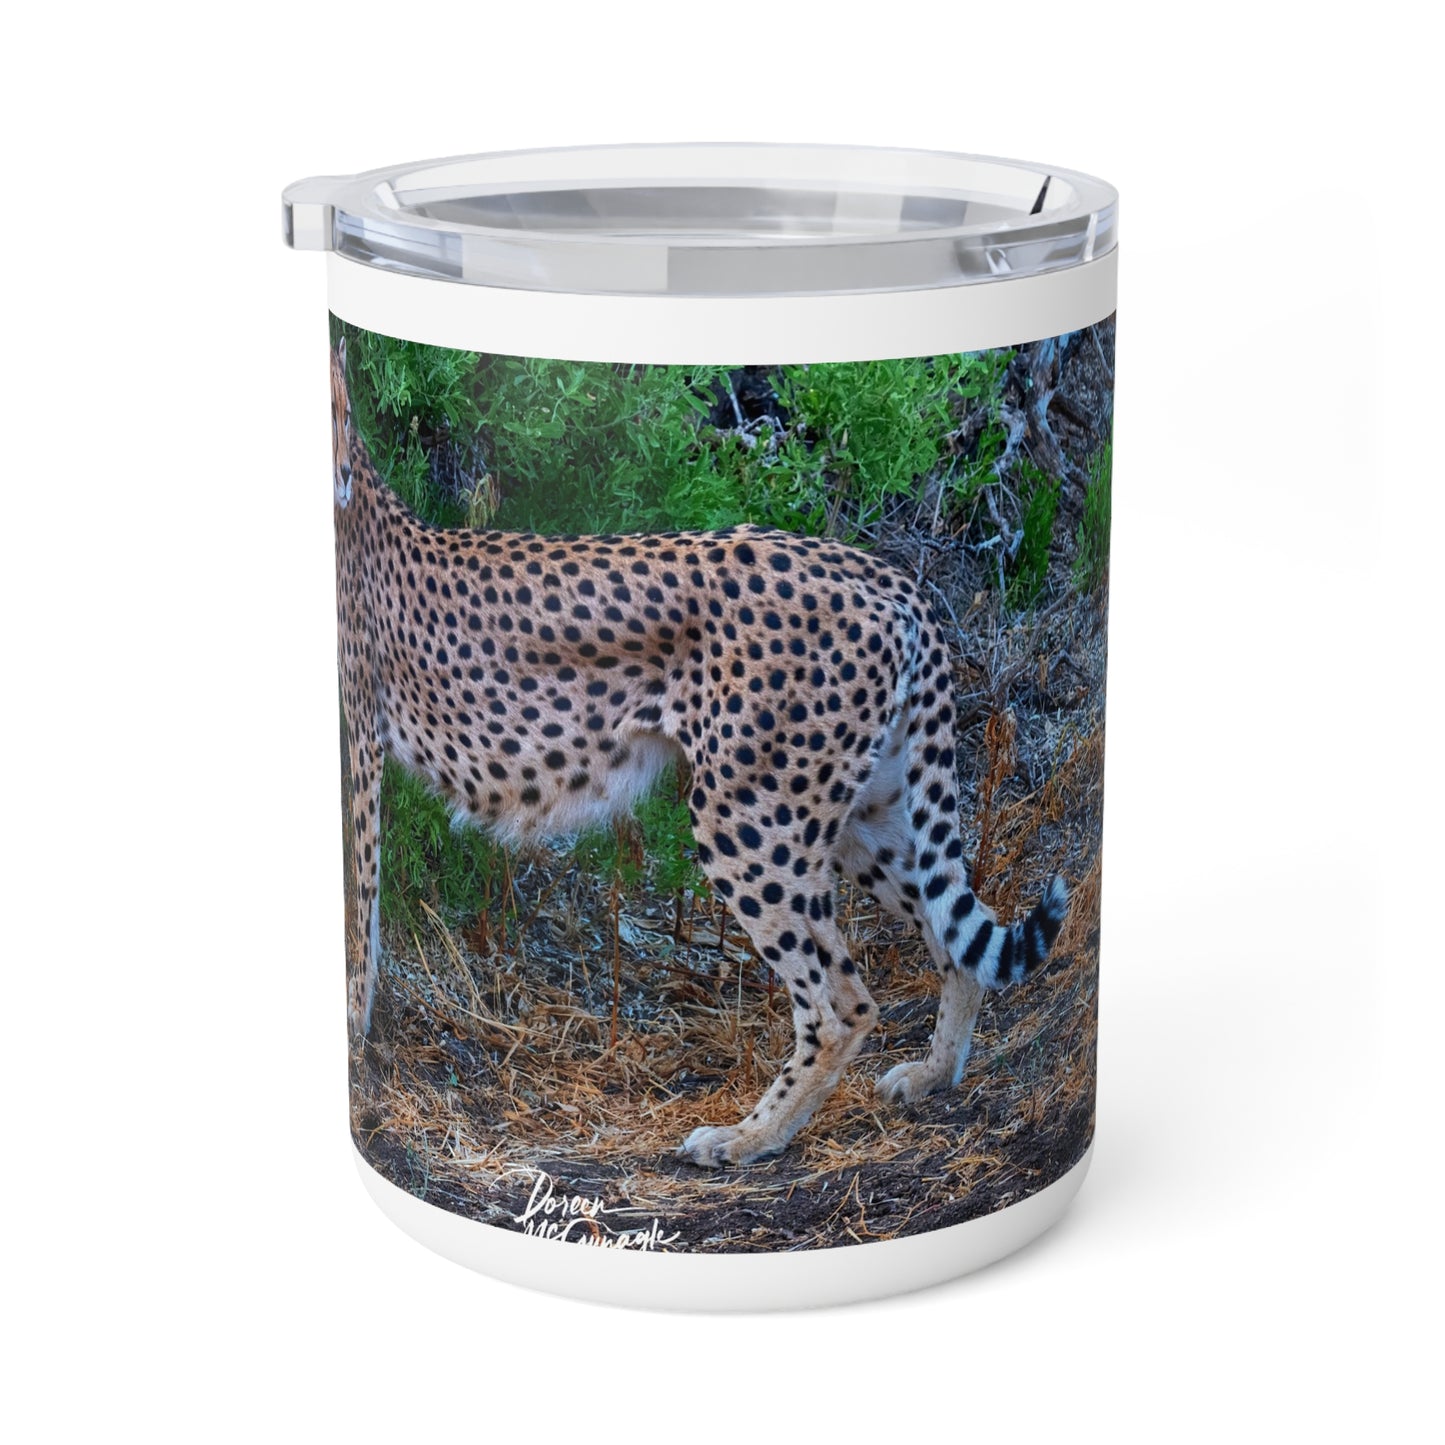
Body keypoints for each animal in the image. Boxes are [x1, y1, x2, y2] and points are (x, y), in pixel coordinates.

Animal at [329, 336, 1069, 1166]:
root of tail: (878, 571)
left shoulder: (359, 745)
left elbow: (360, 914)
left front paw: (355, 1041)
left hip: (748, 814)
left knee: (841, 1000)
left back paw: (748, 1137)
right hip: (863, 811)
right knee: (955, 937)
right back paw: (931, 1075)